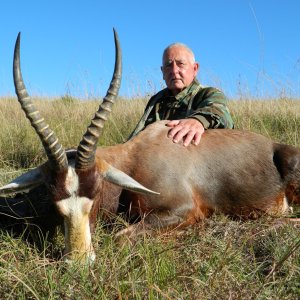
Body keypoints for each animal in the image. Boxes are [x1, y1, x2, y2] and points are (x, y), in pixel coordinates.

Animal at [0, 29, 300, 262]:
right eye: (54, 198)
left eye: (96, 192)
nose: (79, 261)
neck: (135, 158)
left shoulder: (184, 210)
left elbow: (121, 236)